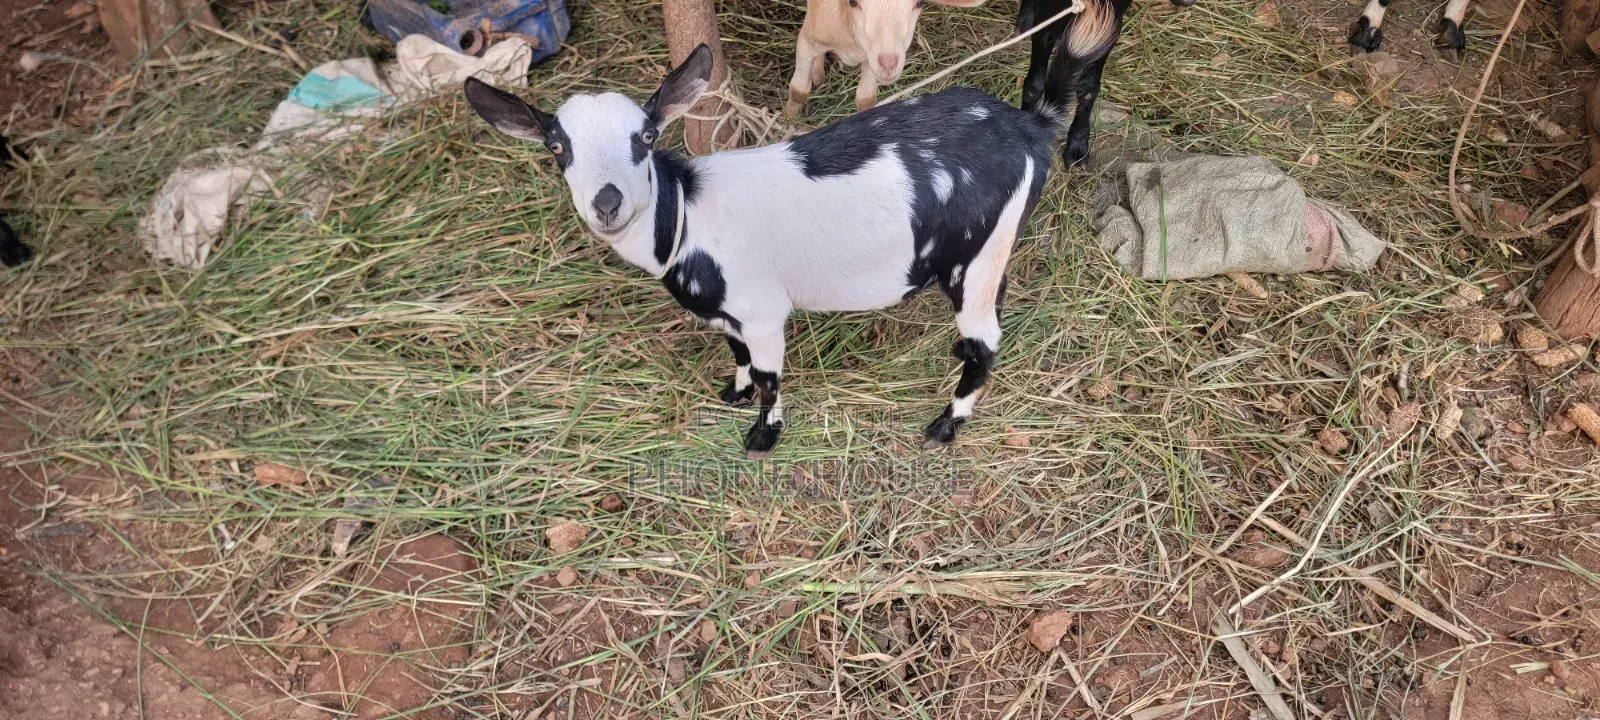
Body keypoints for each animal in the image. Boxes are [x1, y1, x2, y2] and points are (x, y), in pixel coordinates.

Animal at [465, 46, 1056, 458]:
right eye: (556, 147)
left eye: (647, 137)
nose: (606, 202)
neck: (687, 216)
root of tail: (1029, 128)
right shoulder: (732, 315)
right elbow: (739, 355)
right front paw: (736, 393)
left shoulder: (764, 311)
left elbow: (771, 379)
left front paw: (762, 438)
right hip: (994, 251)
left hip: (975, 258)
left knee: (985, 344)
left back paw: (944, 426)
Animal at [784, 0, 988, 117]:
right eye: (852, 1)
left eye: (920, 2)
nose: (889, 63)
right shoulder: (807, 42)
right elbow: (798, 90)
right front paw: (789, 118)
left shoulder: (871, 57)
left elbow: (866, 99)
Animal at [1018, 0, 1193, 168]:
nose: (1188, 1)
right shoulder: (1047, 22)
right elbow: (1035, 85)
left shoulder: (1105, 24)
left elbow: (1088, 89)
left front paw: (1078, 150)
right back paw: (1025, 21)